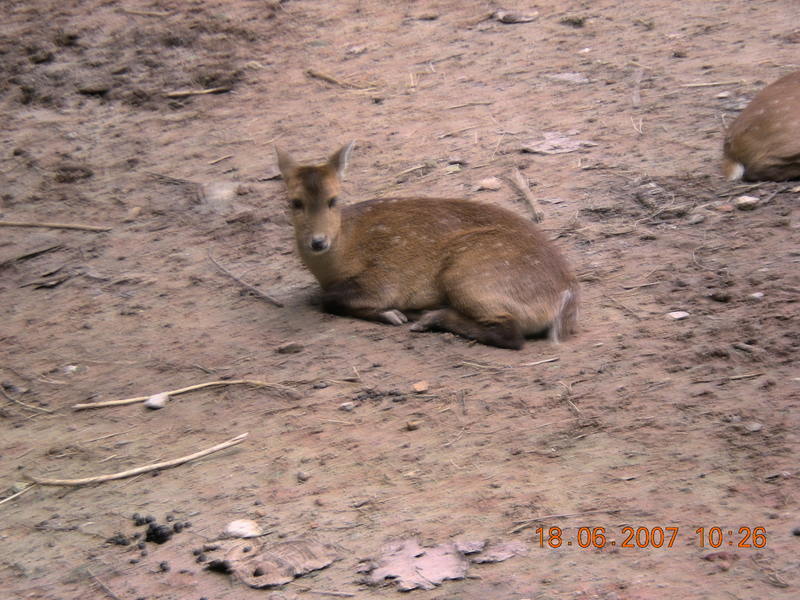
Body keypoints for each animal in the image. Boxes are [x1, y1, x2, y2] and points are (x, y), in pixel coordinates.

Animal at [278, 144, 580, 352]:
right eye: (295, 202)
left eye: (333, 199)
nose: (318, 241)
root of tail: (566, 298)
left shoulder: (384, 278)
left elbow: (328, 299)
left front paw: (392, 314)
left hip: (470, 272)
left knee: (511, 334)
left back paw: (430, 317)